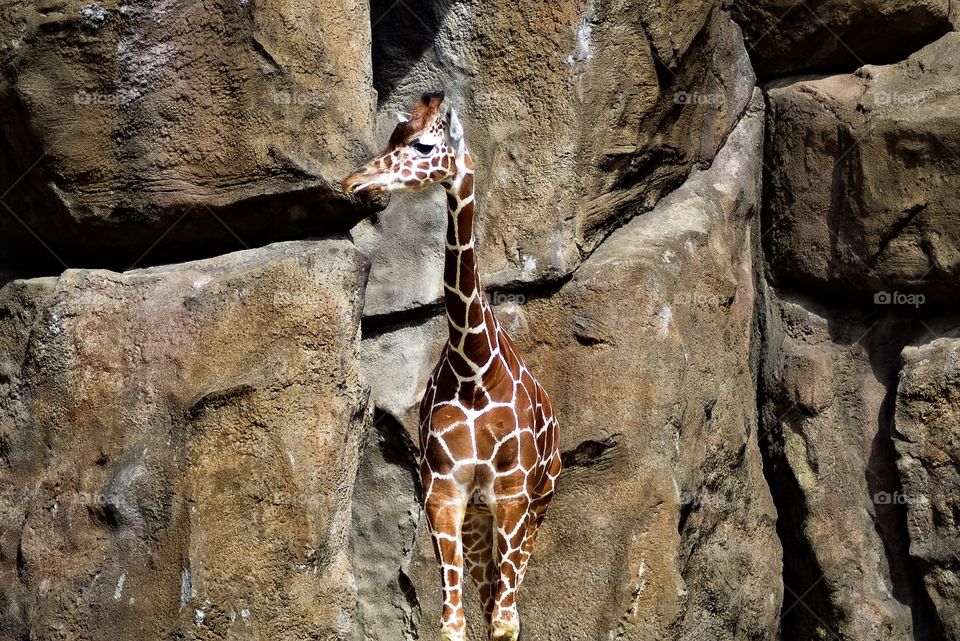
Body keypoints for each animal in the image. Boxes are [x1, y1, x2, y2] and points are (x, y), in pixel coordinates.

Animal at [344, 91, 564, 640]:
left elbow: (504, 622)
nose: (354, 183)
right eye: (393, 134)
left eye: (424, 144)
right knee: (488, 599)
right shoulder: (444, 492)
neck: (474, 369)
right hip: (480, 516)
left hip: (538, 503)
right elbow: (453, 621)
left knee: (508, 606)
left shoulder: (512, 493)